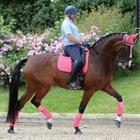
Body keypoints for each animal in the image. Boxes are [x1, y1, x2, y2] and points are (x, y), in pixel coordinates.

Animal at [6, 32, 138, 134]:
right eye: (127, 47)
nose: (128, 65)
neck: (99, 59)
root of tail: (29, 60)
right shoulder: (89, 90)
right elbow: (81, 108)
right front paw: (76, 128)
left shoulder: (106, 87)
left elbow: (119, 97)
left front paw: (118, 121)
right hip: (44, 87)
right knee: (35, 101)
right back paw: (48, 121)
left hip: (32, 87)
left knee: (20, 104)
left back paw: (12, 128)